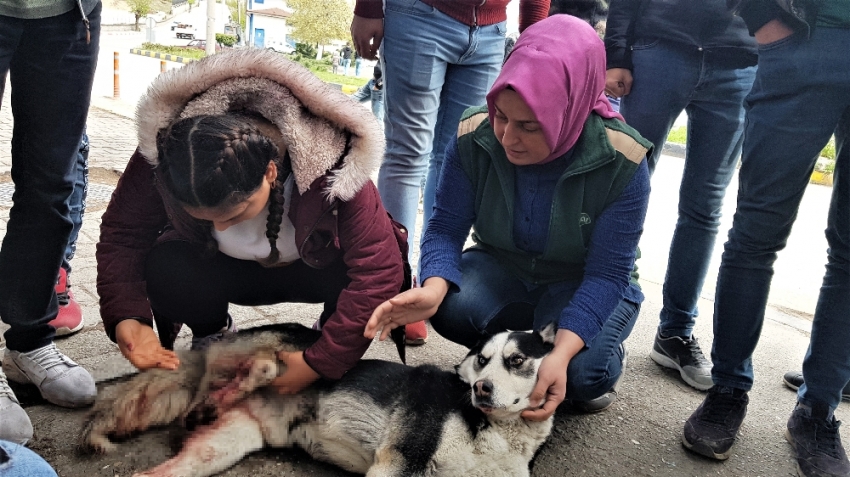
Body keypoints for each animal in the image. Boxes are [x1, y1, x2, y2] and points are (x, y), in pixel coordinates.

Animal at [79, 322, 556, 474]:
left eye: (516, 361)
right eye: (483, 360)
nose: (481, 389)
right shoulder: (399, 461)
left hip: (220, 448)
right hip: (286, 352)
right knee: (260, 368)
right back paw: (214, 397)